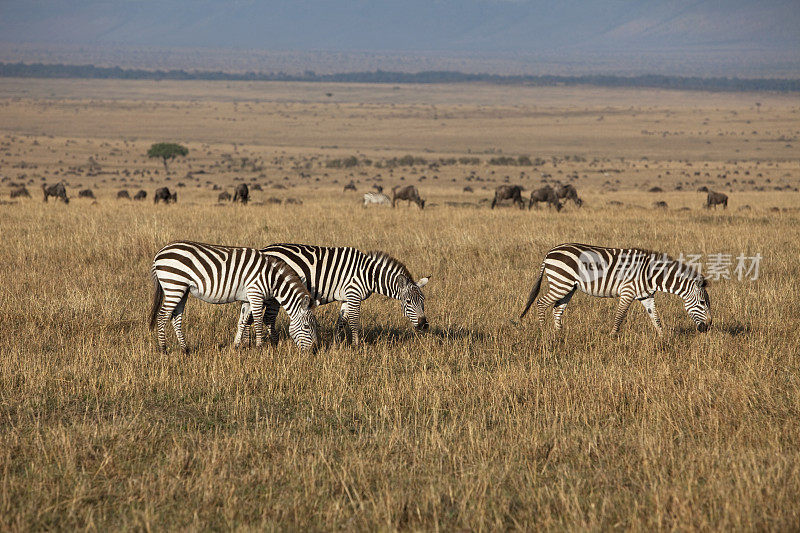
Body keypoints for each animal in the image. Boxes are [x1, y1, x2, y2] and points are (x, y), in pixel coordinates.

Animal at [150, 242, 318, 354]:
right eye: (306, 327)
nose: (314, 351)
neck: (272, 278)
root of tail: (159, 253)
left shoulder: (247, 299)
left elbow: (242, 322)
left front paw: (236, 346)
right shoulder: (256, 294)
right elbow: (257, 321)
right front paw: (259, 347)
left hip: (182, 290)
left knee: (175, 318)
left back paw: (185, 349)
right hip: (174, 285)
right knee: (162, 316)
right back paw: (163, 349)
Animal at [236, 244, 428, 348]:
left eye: (423, 301)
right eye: (408, 301)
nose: (424, 325)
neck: (369, 275)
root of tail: (264, 250)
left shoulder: (346, 297)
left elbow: (341, 321)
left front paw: (336, 343)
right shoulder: (354, 294)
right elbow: (354, 321)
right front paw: (356, 345)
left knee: (249, 316)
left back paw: (244, 343)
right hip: (273, 295)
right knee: (265, 318)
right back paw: (267, 344)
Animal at [520, 243, 712, 334]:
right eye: (703, 303)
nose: (708, 327)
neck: (651, 275)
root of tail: (550, 252)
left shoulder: (646, 296)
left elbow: (655, 318)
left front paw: (664, 337)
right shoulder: (628, 292)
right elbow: (620, 316)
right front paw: (613, 336)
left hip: (568, 286)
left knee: (557, 308)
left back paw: (559, 334)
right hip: (561, 282)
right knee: (541, 303)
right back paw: (544, 332)